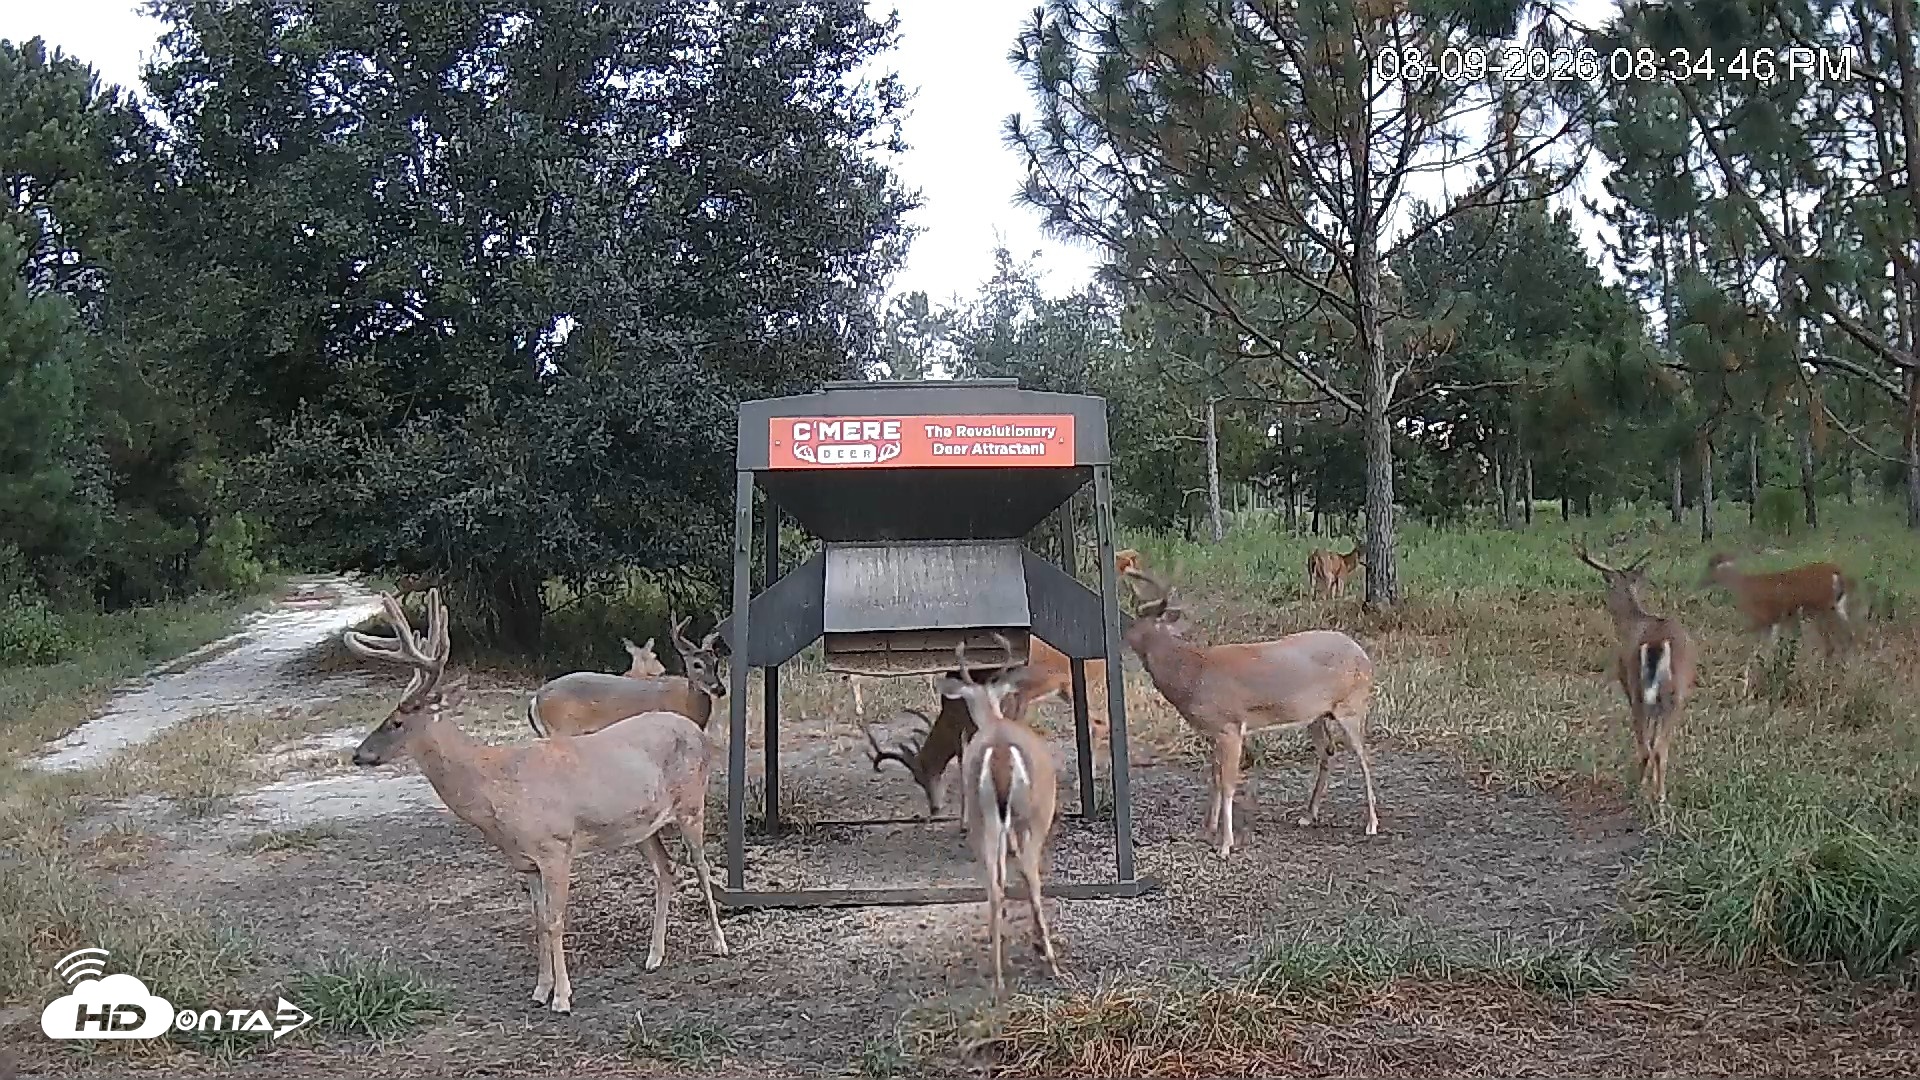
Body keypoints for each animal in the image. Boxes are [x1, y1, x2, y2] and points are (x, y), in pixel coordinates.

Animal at [939, 635, 1064, 1000]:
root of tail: (999, 752)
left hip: (985, 817)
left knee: (996, 883)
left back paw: (998, 974)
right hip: (1032, 813)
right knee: (1029, 875)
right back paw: (1049, 961)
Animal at [1121, 564, 1380, 856]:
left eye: (1134, 623)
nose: (1121, 635)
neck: (1193, 675)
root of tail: (1364, 655)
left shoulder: (1231, 726)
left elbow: (1228, 784)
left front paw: (1225, 844)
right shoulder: (1213, 732)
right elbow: (1214, 777)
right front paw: (1207, 831)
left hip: (1352, 705)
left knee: (1364, 757)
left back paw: (1371, 824)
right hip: (1316, 715)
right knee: (1328, 751)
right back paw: (1307, 815)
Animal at [1574, 539, 1698, 812]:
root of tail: (1656, 643)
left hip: (1644, 691)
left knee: (1650, 747)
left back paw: (1647, 792)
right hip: (1664, 693)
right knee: (1656, 747)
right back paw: (1654, 795)